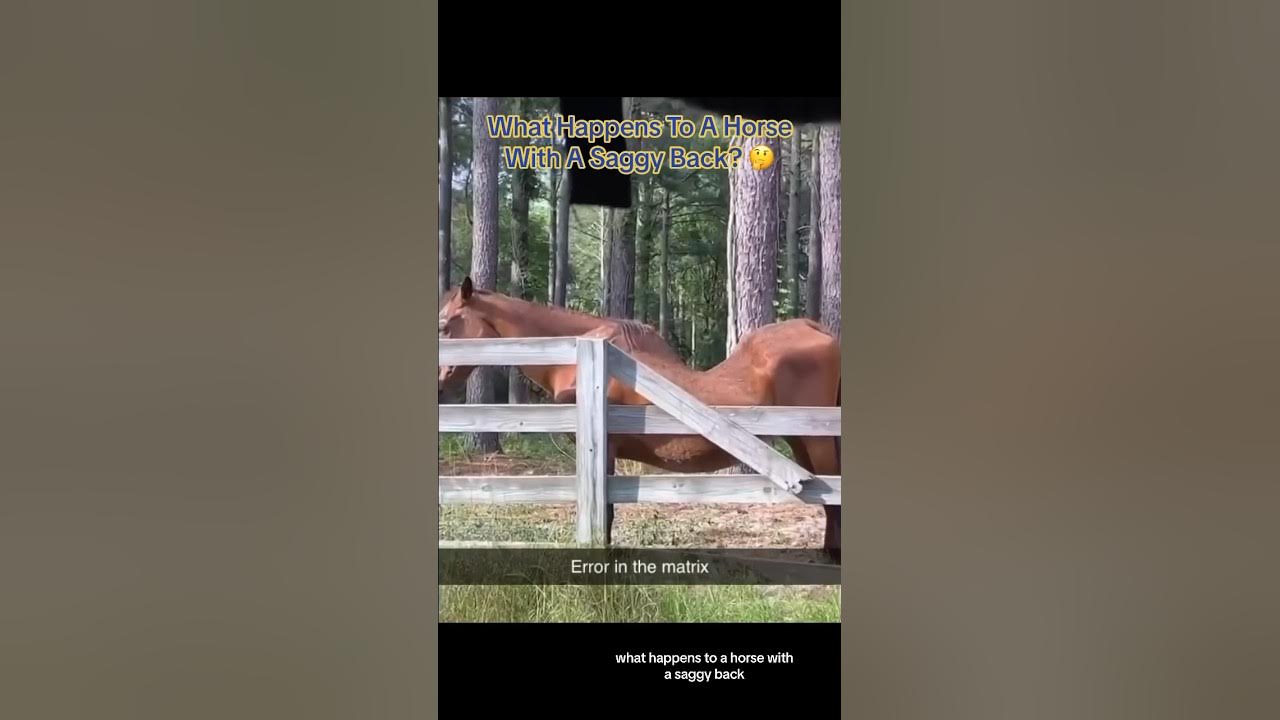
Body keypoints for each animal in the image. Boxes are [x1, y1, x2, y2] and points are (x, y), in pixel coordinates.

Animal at [437, 277, 842, 559]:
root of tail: (818, 329)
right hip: (801, 444)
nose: (440, 386)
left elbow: (606, 513)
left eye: (444, 325)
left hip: (816, 440)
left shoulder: (604, 449)